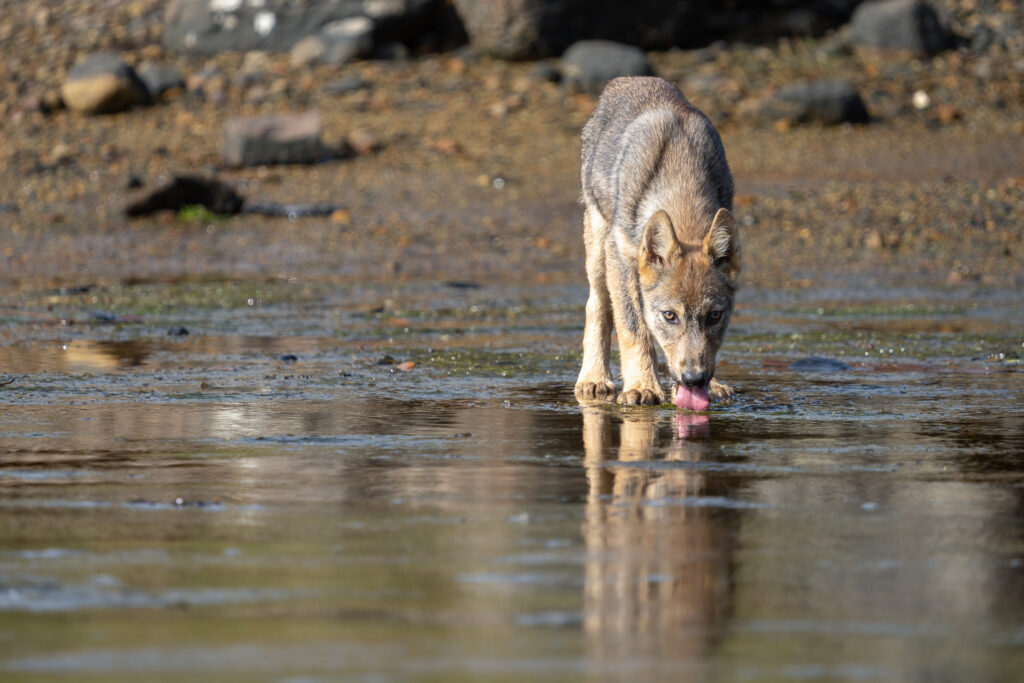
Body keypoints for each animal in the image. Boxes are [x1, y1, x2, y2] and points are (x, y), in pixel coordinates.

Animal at [574, 77, 740, 409]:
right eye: (669, 316)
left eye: (715, 316)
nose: (694, 380)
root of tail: (628, 80)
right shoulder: (621, 259)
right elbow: (633, 328)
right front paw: (641, 386)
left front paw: (713, 385)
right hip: (599, 252)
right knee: (597, 305)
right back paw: (594, 378)